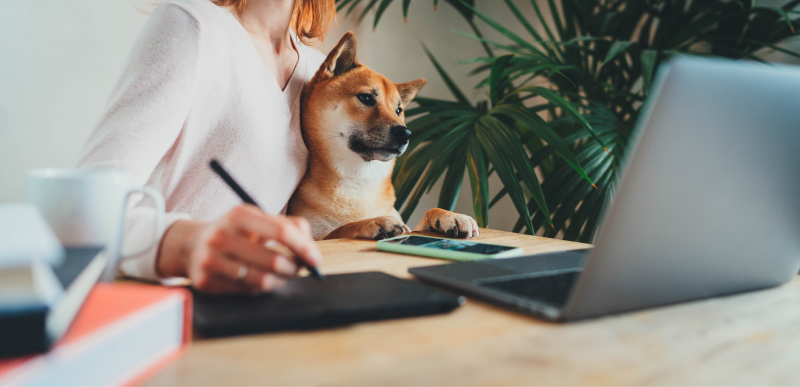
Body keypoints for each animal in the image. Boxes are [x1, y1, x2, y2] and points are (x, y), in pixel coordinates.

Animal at [290, 32, 484, 242]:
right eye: (366, 98)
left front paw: (450, 216)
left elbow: (425, 215)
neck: (359, 182)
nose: (406, 134)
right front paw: (372, 222)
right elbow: (340, 229)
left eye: (398, 110)